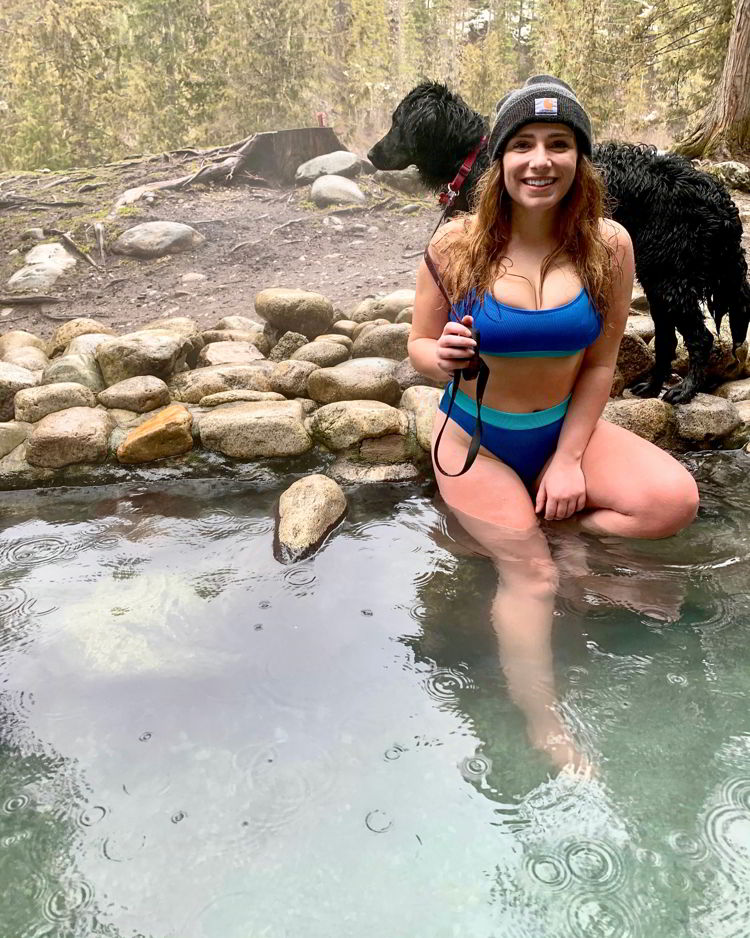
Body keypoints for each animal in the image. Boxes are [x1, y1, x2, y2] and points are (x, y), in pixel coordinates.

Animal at [370, 80, 750, 402]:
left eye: (397, 121)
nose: (371, 155)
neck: (472, 158)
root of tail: (717, 196)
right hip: (658, 277)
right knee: (668, 339)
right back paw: (651, 387)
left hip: (671, 277)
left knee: (699, 337)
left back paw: (685, 390)